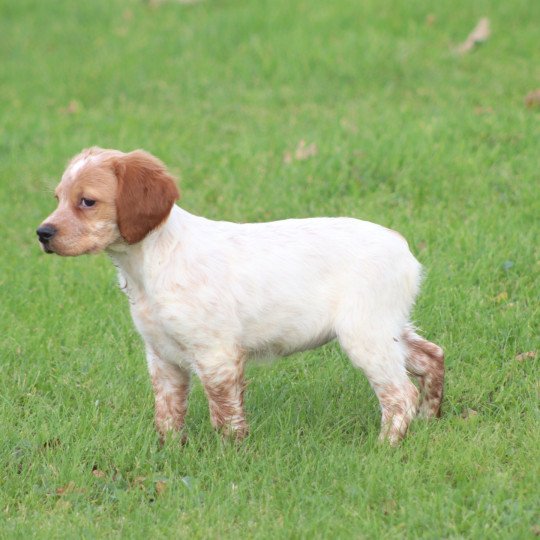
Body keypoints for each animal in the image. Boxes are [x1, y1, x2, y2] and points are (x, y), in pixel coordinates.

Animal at [37, 147, 442, 442]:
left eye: (87, 201)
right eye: (58, 198)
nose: (43, 233)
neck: (150, 263)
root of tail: (403, 248)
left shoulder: (215, 355)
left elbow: (225, 415)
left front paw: (230, 456)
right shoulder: (161, 355)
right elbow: (167, 412)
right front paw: (168, 451)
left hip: (365, 335)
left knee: (399, 394)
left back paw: (386, 446)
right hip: (389, 328)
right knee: (431, 357)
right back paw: (431, 419)